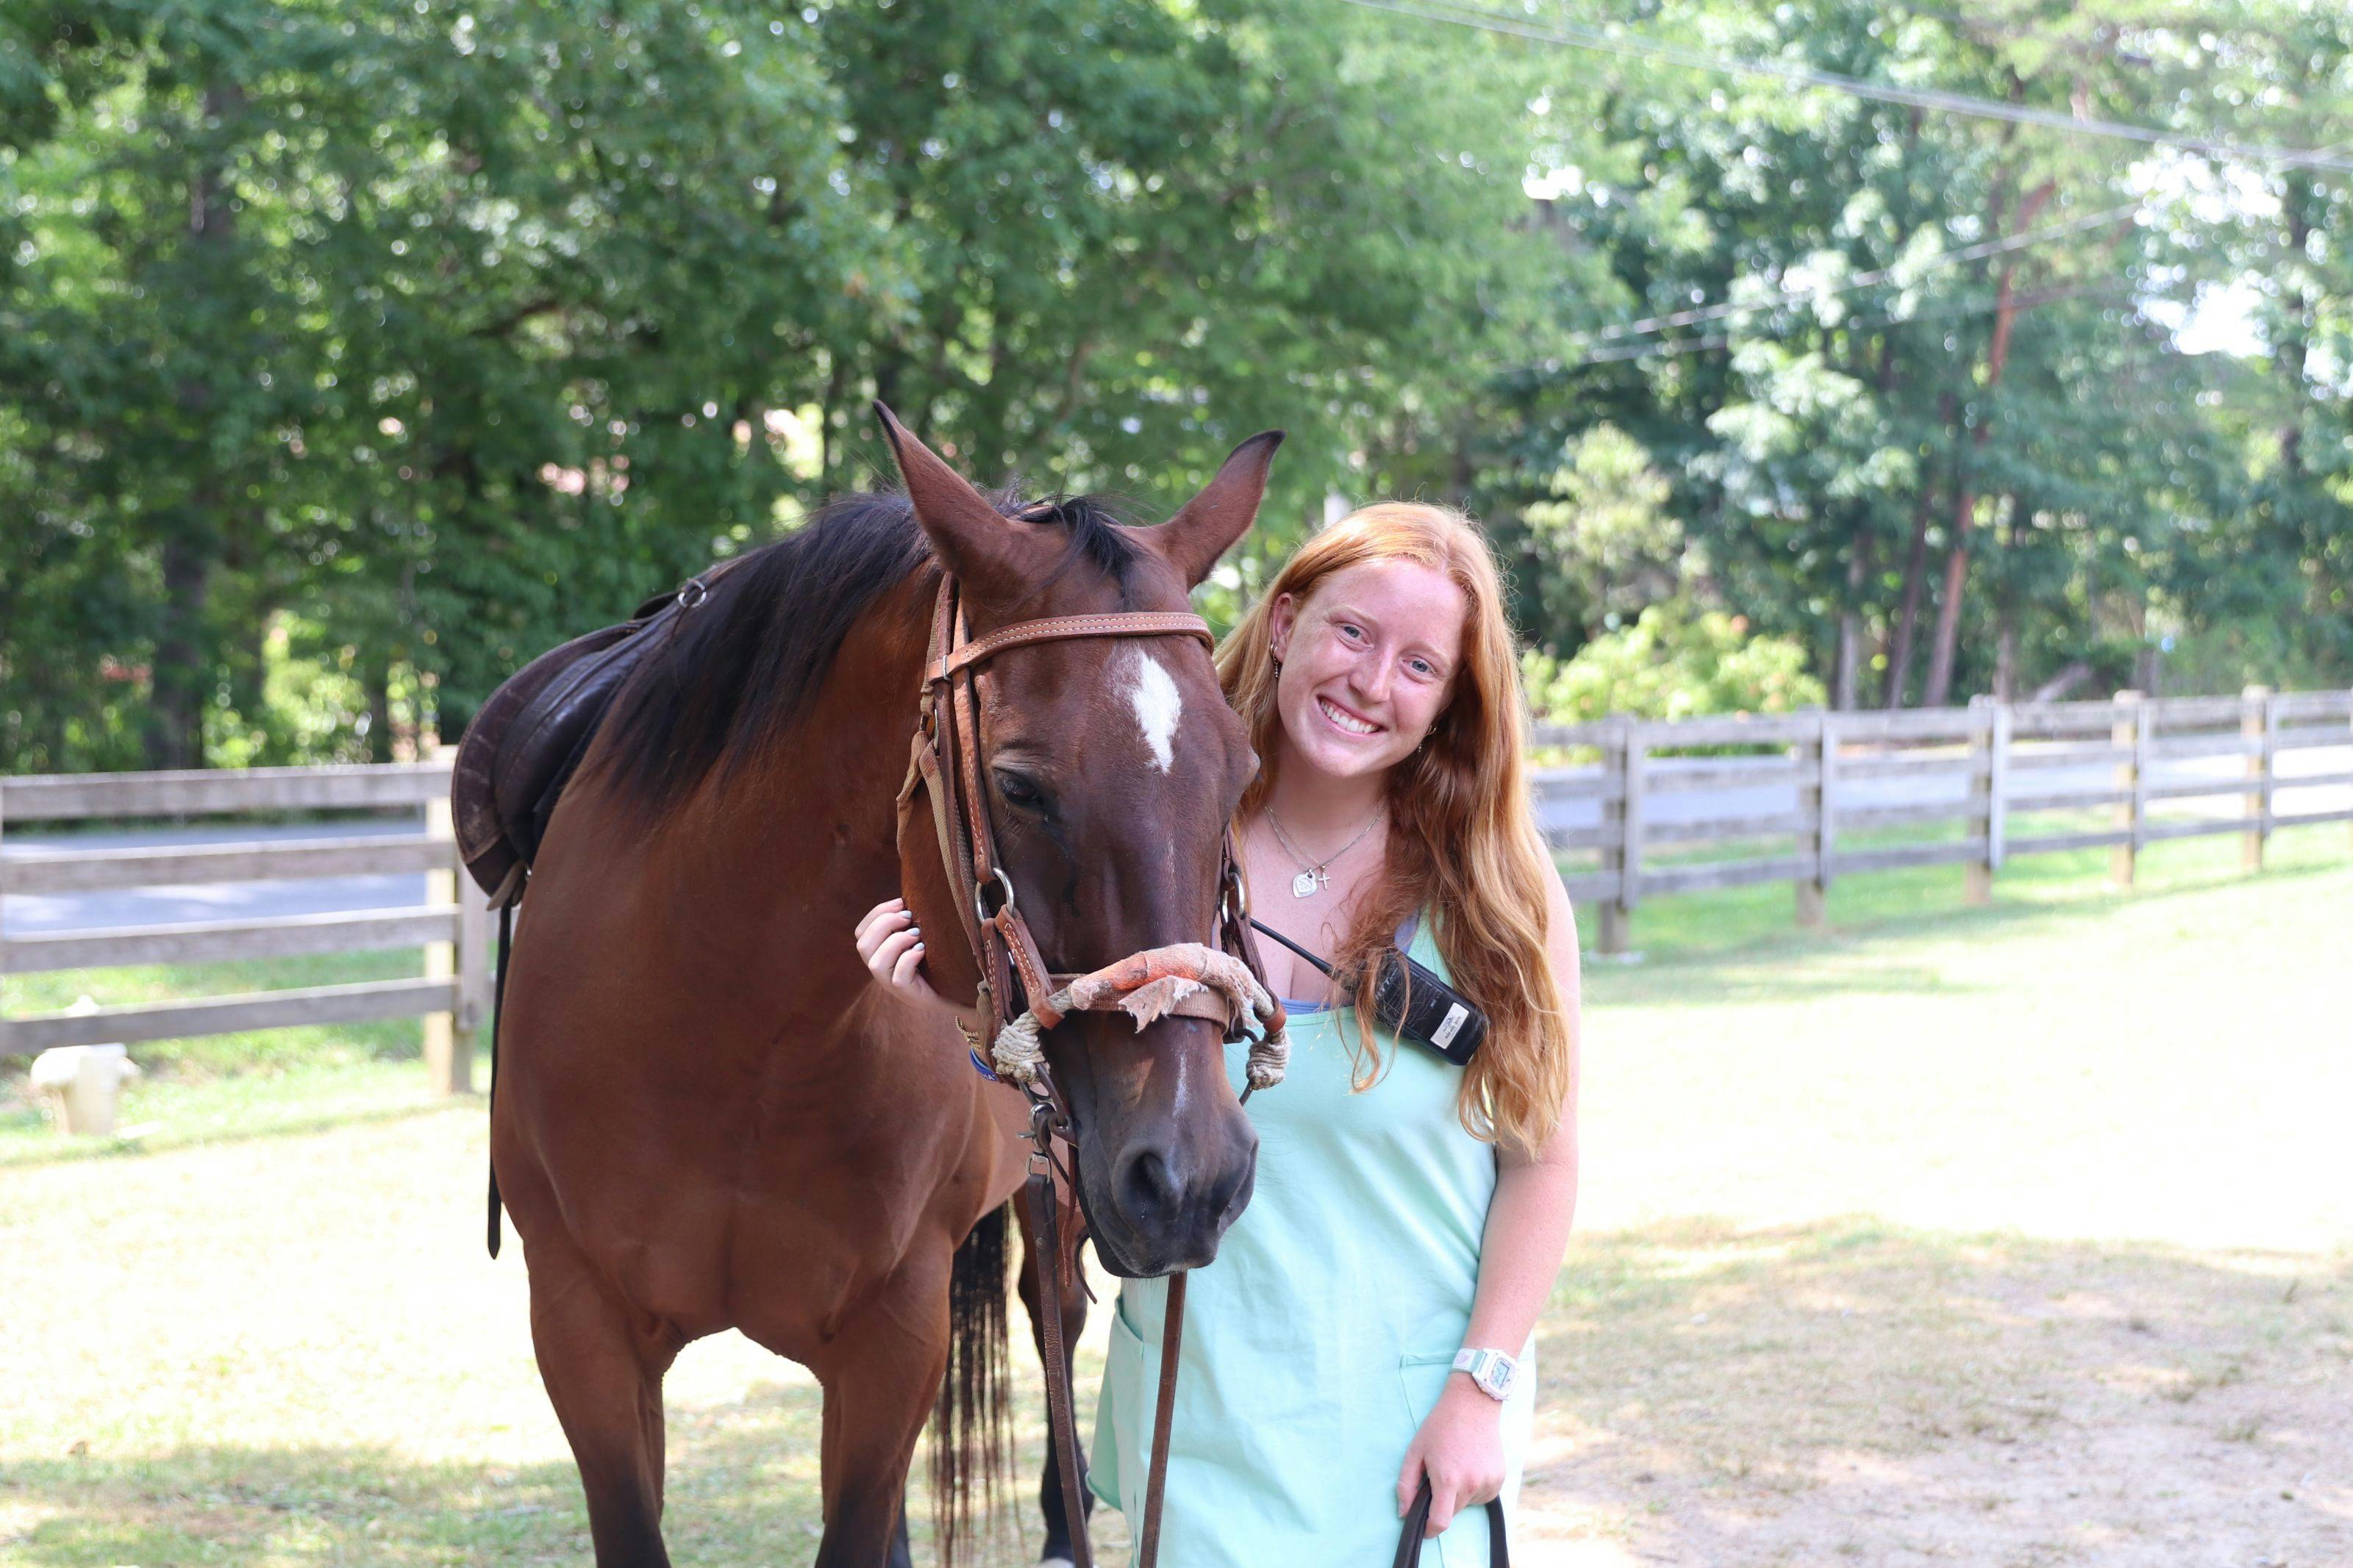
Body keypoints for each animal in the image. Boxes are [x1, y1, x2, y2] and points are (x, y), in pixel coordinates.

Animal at [485, 411, 1279, 1561]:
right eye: (1018, 786)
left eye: (1241, 773)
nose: (1194, 1173)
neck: (733, 1028)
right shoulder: (584, 1336)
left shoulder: (893, 1338)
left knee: (1055, 1311)